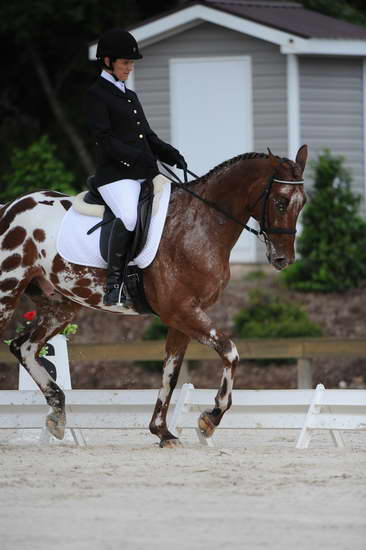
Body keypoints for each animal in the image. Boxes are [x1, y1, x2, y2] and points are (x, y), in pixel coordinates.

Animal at [0, 147, 308, 448]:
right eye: (281, 201)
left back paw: (57, 412)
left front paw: (162, 431)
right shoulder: (182, 311)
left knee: (24, 347)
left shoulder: (182, 317)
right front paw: (210, 418)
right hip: (7, 292)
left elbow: (170, 374)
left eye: (302, 203)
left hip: (61, 307)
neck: (200, 224)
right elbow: (230, 352)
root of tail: (9, 208)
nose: (284, 259)